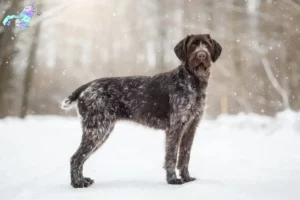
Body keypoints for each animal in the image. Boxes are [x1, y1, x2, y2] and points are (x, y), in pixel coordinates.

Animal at [61, 33, 220, 188]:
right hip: (96, 130)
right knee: (76, 157)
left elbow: (185, 156)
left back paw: (82, 180)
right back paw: (77, 183)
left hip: (101, 130)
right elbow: (172, 156)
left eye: (207, 45)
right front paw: (173, 179)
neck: (194, 82)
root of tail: (87, 86)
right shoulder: (175, 127)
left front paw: (186, 178)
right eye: (193, 45)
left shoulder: (191, 127)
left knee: (81, 158)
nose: (201, 55)